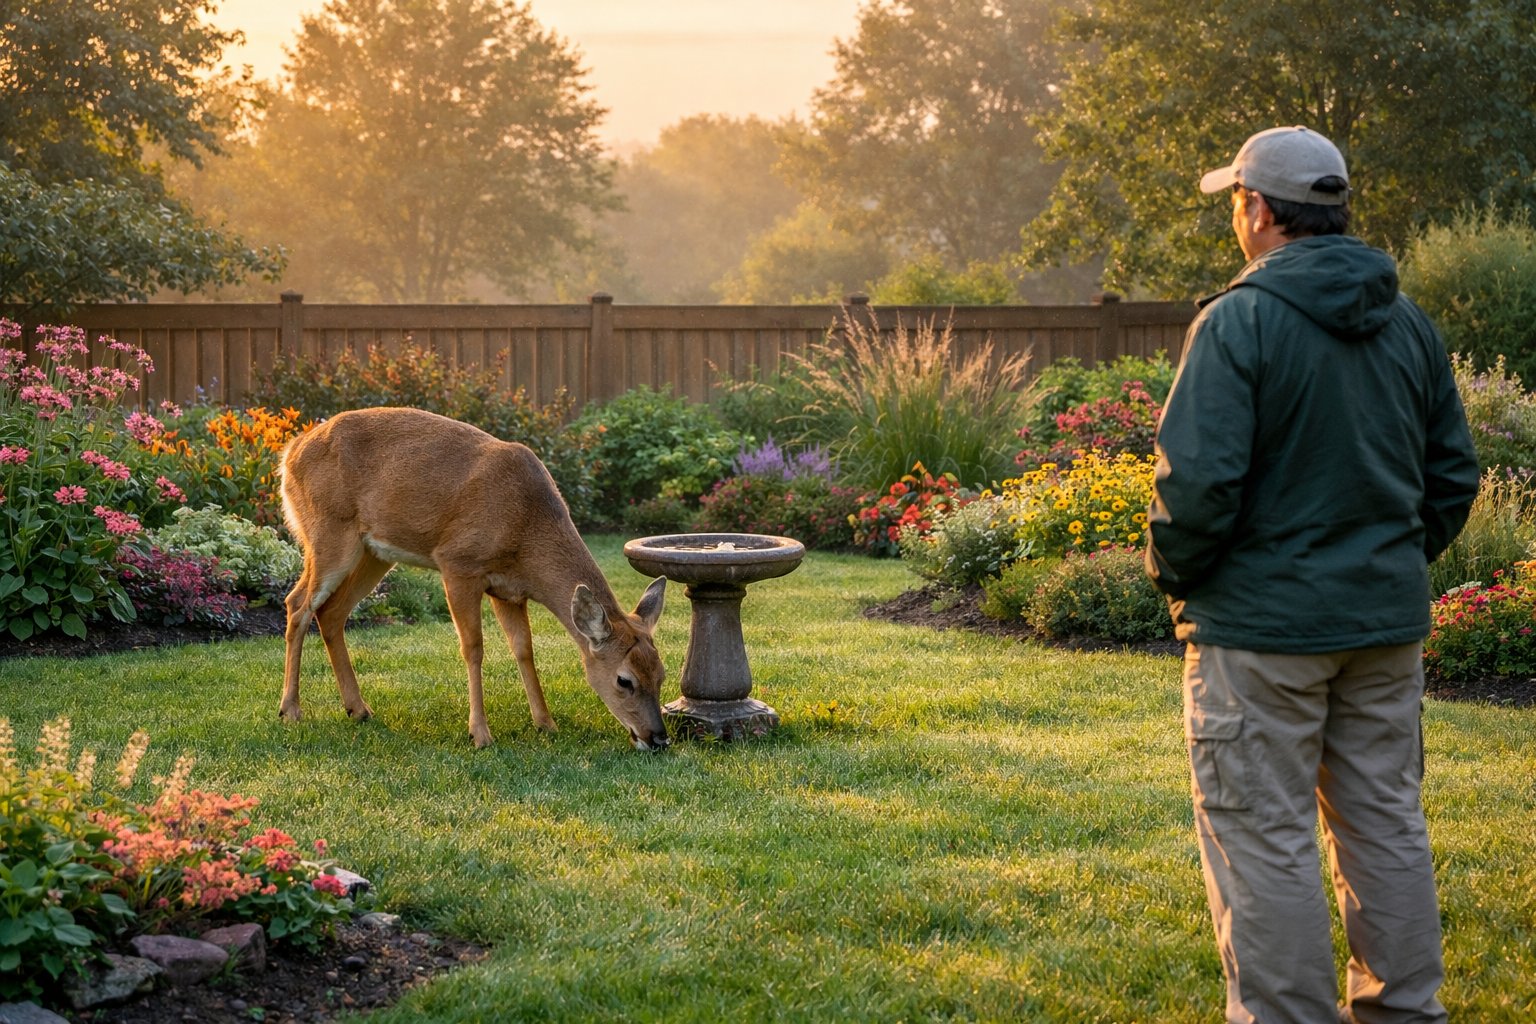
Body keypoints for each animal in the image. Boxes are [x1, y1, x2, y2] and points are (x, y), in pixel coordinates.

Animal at [277, 406, 670, 750]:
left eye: (662, 674)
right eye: (624, 680)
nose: (658, 739)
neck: (526, 531)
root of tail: (290, 451)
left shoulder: (509, 591)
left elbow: (524, 649)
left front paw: (546, 723)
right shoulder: (458, 563)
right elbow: (474, 647)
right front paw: (480, 734)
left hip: (374, 553)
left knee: (331, 612)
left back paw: (358, 709)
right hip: (329, 531)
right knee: (298, 604)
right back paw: (290, 710)